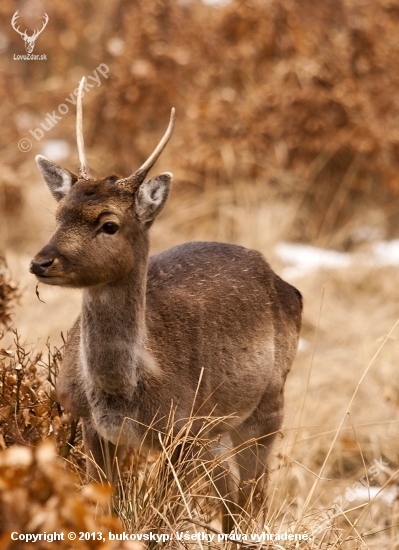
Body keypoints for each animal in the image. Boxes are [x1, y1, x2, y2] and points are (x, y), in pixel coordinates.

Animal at [29, 78, 304, 536]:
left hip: (265, 404)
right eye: (59, 214)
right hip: (214, 433)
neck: (121, 394)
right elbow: (110, 505)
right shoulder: (89, 423)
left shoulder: (181, 429)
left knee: (251, 497)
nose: (40, 262)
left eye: (109, 224)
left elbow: (162, 512)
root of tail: (289, 288)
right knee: (230, 497)